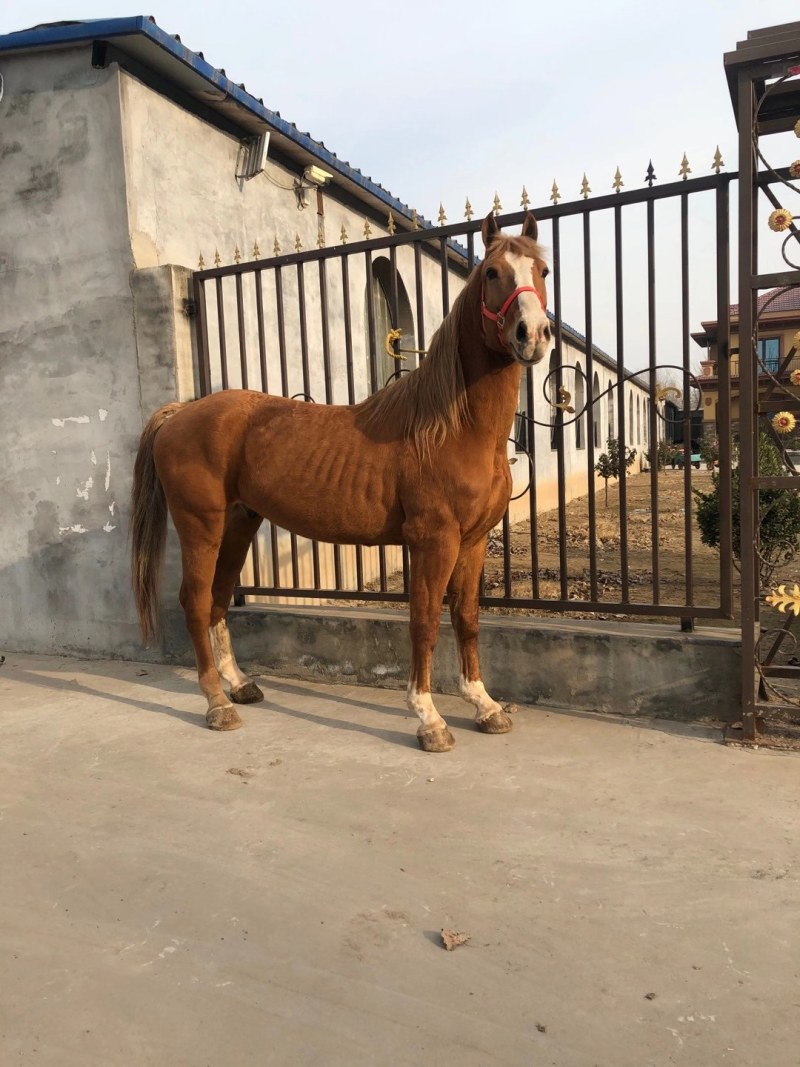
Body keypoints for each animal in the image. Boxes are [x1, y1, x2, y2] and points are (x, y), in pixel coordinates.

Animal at [130, 210, 551, 751]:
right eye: (494, 273)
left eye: (541, 270)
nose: (533, 334)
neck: (453, 428)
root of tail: (181, 412)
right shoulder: (433, 540)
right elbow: (424, 623)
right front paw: (429, 719)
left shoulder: (474, 541)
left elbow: (467, 619)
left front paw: (485, 706)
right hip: (199, 526)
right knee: (196, 601)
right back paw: (218, 705)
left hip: (239, 524)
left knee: (219, 599)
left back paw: (241, 685)